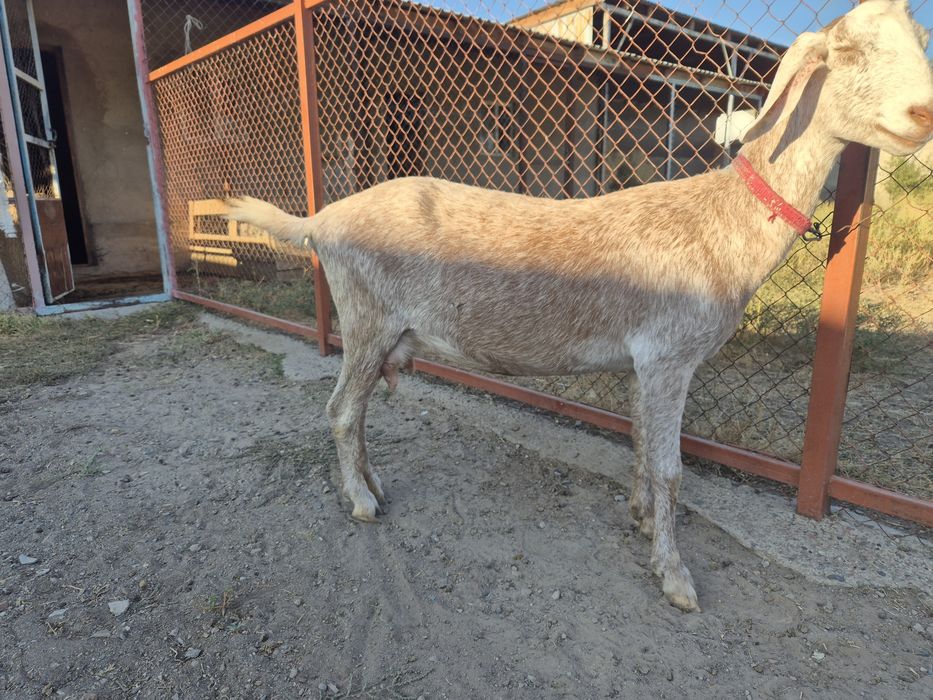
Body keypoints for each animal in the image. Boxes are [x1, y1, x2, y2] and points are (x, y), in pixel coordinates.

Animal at [227, 0, 933, 611]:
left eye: (918, 40)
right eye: (846, 49)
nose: (923, 112)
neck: (720, 221)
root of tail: (320, 220)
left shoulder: (644, 363)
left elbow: (641, 442)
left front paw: (641, 518)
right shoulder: (670, 356)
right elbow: (672, 469)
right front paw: (675, 577)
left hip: (379, 332)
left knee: (359, 413)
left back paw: (374, 484)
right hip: (367, 318)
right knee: (341, 411)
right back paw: (362, 503)